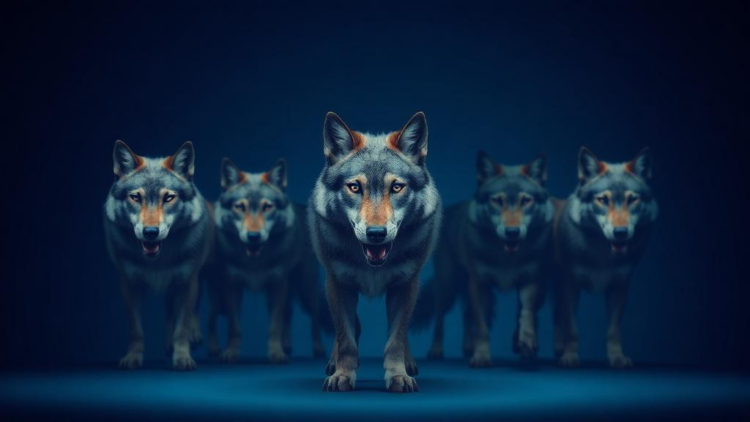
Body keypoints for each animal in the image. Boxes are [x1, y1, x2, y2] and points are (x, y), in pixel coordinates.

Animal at [104, 140, 212, 371]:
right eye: (136, 197)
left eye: (168, 197)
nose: (150, 232)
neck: (158, 261)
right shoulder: (129, 284)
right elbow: (135, 329)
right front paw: (132, 358)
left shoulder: (187, 282)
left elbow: (182, 326)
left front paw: (183, 358)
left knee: (192, 307)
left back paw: (193, 337)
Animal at [207, 158, 328, 364]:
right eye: (240, 207)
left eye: (267, 207)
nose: (253, 236)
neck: (255, 262)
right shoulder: (232, 286)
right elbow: (234, 325)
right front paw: (230, 352)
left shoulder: (277, 285)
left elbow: (274, 325)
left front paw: (276, 353)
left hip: (306, 287)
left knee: (313, 317)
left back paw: (317, 349)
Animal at [309, 112, 442, 393]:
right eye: (355, 187)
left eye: (397, 187)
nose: (376, 233)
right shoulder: (338, 283)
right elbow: (345, 338)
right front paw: (342, 375)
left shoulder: (406, 284)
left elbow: (396, 339)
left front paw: (399, 376)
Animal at [416, 151, 553, 367]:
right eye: (497, 201)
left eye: (526, 201)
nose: (512, 232)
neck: (506, 257)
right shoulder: (479, 284)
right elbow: (481, 327)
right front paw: (481, 356)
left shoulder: (530, 281)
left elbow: (526, 313)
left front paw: (526, 345)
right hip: (448, 286)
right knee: (440, 317)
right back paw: (437, 350)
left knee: (467, 313)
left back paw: (468, 348)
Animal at [553, 147, 657, 369]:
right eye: (603, 200)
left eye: (632, 199)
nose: (620, 232)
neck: (602, 255)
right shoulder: (570, 286)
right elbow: (571, 329)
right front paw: (570, 356)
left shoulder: (620, 287)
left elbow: (613, 331)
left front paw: (617, 358)